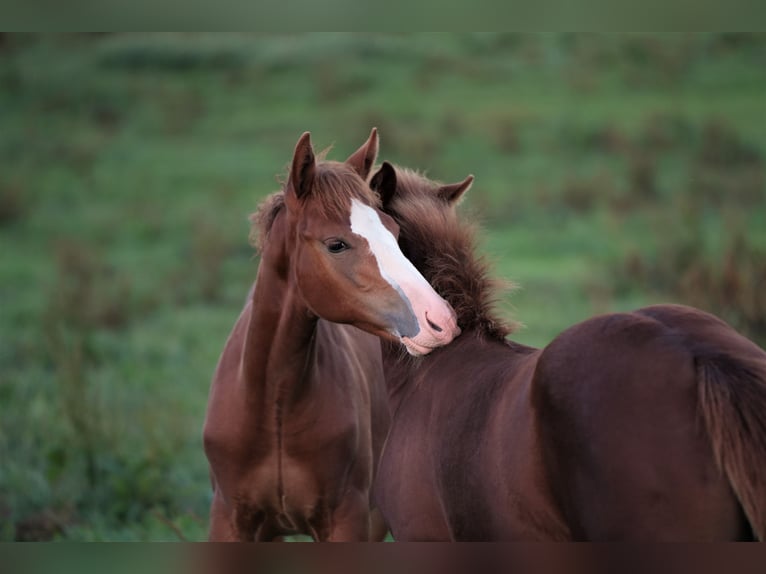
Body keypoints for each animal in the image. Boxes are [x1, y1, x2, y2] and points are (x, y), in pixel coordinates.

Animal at [201, 133, 462, 544]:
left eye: (396, 233)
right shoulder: (230, 519)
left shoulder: (347, 520)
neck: (274, 406)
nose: (440, 320)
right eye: (336, 244)